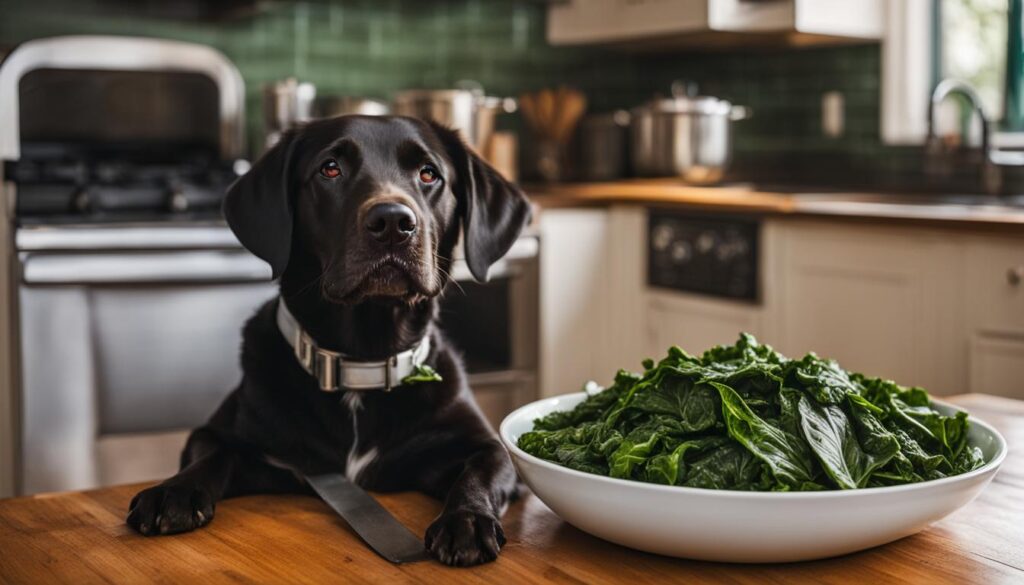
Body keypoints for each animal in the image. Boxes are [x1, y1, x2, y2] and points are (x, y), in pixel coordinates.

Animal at [124, 114, 532, 569]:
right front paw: (172, 491)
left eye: (429, 174)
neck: (361, 363)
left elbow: (483, 467)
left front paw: (466, 519)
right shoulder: (232, 438)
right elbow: (212, 451)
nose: (393, 223)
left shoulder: (481, 445)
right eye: (330, 169)